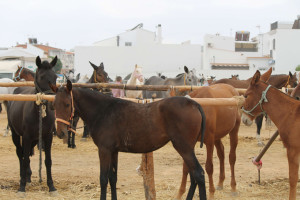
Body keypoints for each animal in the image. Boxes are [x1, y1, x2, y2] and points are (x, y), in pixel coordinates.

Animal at [6, 55, 58, 195]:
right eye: (41, 77)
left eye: (56, 76)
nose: (52, 101)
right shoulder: (27, 136)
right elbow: (24, 159)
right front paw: (21, 187)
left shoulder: (48, 136)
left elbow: (48, 161)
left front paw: (51, 186)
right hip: (16, 135)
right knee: (21, 154)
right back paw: (22, 177)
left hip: (34, 139)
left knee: (27, 154)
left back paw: (28, 176)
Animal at [50, 80, 207, 200]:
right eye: (54, 105)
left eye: (67, 104)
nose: (60, 132)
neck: (103, 111)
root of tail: (194, 104)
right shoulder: (113, 151)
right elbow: (113, 178)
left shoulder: (104, 150)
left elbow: (103, 179)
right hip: (187, 149)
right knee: (193, 175)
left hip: (184, 148)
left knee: (199, 174)